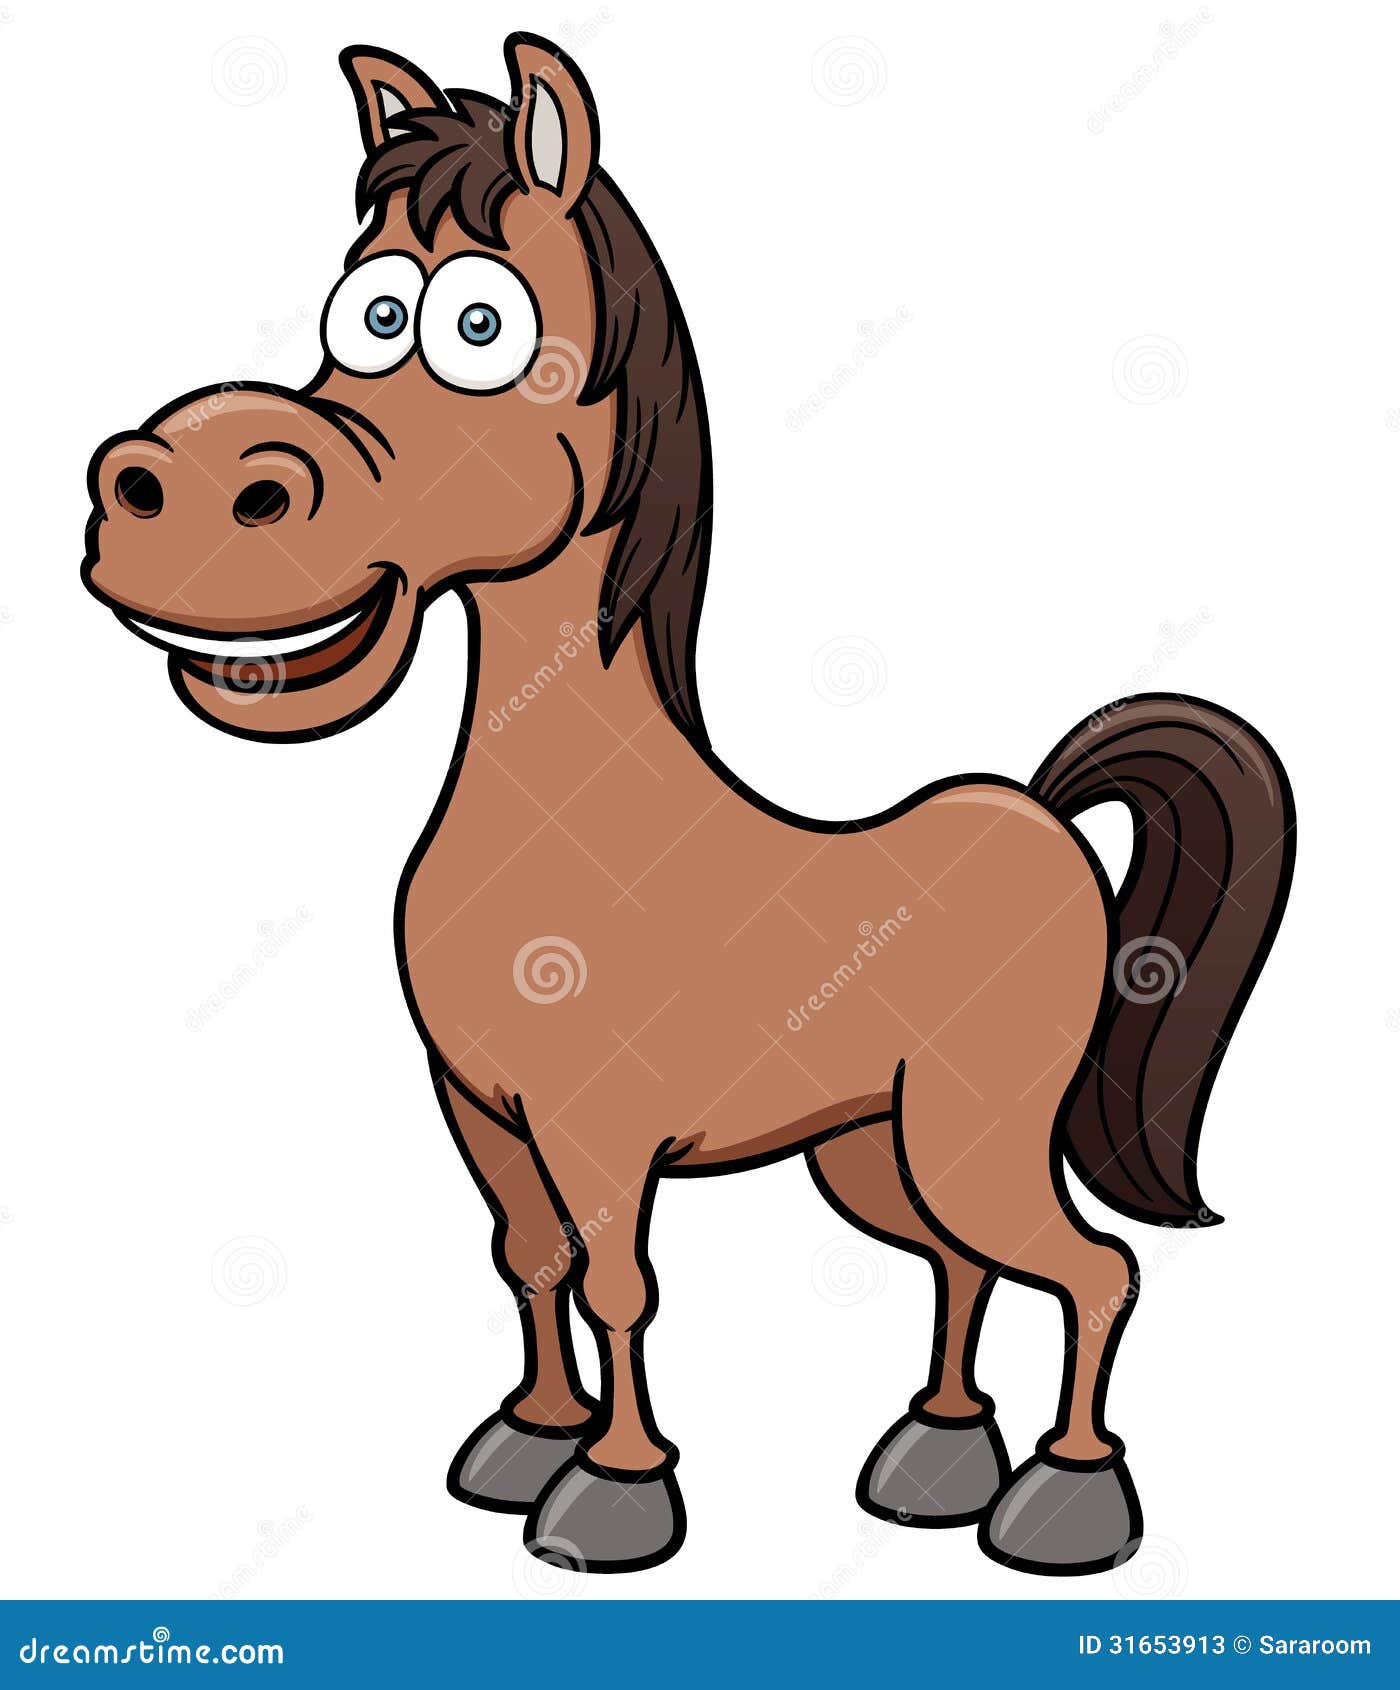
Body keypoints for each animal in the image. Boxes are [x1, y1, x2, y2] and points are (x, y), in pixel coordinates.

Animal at [81, 34, 1295, 1577]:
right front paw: (522, 1443)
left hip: (970, 1134)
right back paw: (934, 1456)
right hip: (871, 1147)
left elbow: (619, 1282)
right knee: (960, 1263)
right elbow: (528, 1258)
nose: (168, 487)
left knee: (1089, 1266)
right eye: (361, 308)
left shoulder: (599, 1125)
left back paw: (1063, 1501)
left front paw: (612, 1495)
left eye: (479, 322)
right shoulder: (482, 1112)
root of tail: (1037, 814)